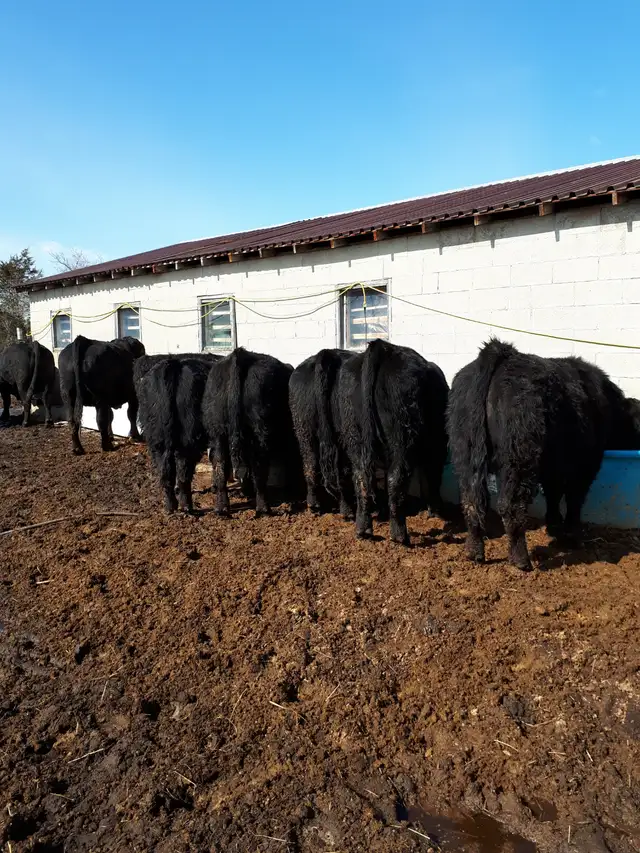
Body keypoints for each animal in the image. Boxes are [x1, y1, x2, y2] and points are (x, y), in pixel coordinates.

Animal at [136, 354, 220, 512]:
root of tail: (174, 365)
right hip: (188, 438)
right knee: (183, 470)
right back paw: (187, 506)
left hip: (156, 437)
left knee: (165, 471)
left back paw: (170, 506)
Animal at [202, 347, 301, 517]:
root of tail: (240, 354)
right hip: (260, 431)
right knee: (258, 467)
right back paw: (263, 508)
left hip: (217, 430)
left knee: (220, 463)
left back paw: (222, 508)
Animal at [289, 349, 356, 516]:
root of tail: (327, 354)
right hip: (343, 437)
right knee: (341, 472)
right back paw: (347, 509)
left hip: (304, 429)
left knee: (310, 464)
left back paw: (314, 505)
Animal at [333, 339, 449, 544]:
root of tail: (382, 346)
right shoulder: (437, 446)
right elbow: (433, 474)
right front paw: (435, 510)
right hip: (402, 437)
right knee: (397, 478)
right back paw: (399, 535)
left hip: (354, 435)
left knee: (361, 477)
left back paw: (363, 529)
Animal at [447, 338, 640, 571]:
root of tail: (501, 352)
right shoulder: (586, 465)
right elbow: (574, 499)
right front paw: (572, 535)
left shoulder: (552, 465)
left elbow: (553, 493)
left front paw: (554, 526)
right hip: (519, 458)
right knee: (511, 506)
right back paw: (521, 560)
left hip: (465, 451)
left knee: (472, 500)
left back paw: (473, 551)